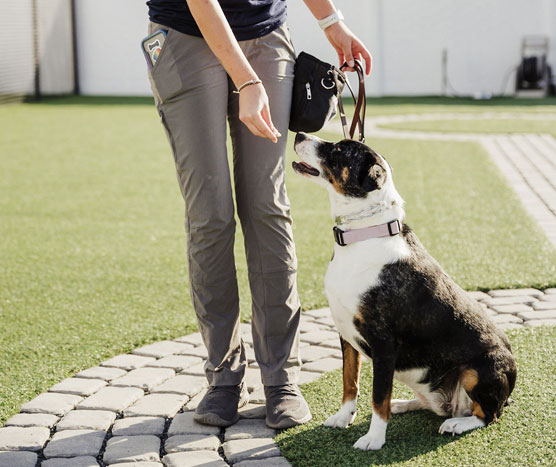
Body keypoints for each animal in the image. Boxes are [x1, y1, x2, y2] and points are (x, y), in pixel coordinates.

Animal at [294, 132, 516, 450]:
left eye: (337, 150)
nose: (299, 134)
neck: (364, 235)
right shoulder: (345, 334)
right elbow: (350, 382)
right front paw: (343, 417)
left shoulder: (383, 343)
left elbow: (378, 396)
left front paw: (374, 439)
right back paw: (405, 403)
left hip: (480, 370)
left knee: (487, 414)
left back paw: (457, 423)